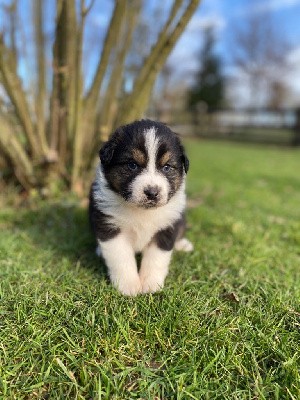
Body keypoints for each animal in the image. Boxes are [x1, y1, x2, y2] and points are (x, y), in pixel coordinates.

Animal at [89, 117, 192, 296]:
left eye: (166, 167)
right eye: (132, 165)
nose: (152, 192)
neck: (141, 211)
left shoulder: (166, 228)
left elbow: (156, 259)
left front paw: (151, 285)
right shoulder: (109, 226)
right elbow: (121, 258)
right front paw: (128, 286)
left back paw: (182, 244)